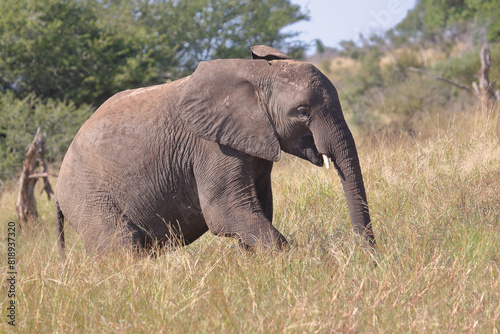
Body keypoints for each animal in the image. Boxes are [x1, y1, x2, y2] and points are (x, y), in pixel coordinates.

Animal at [54, 45, 376, 258]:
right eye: (302, 111)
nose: (369, 259)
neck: (255, 75)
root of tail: (57, 188)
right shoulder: (212, 146)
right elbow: (226, 212)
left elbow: (257, 208)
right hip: (88, 197)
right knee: (120, 247)